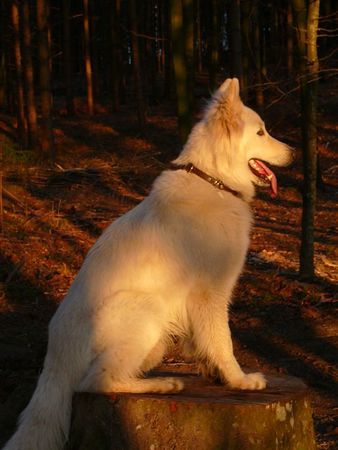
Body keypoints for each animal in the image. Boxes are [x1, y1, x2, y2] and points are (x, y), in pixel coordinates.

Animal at [1, 79, 294, 450]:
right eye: (261, 132)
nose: (294, 153)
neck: (214, 180)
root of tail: (54, 360)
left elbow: (205, 343)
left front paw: (213, 372)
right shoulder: (210, 293)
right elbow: (223, 341)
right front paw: (239, 380)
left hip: (156, 341)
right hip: (147, 309)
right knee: (97, 381)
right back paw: (162, 385)